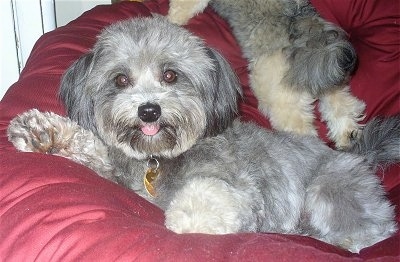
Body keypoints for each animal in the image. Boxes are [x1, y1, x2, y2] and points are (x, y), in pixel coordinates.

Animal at [7, 16, 398, 254]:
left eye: (170, 75)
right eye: (120, 79)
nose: (149, 110)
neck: (159, 158)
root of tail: (359, 156)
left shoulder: (237, 188)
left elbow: (203, 199)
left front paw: (184, 229)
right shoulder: (118, 168)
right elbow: (90, 144)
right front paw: (42, 132)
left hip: (328, 192)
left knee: (369, 233)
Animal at [167, 0, 368, 147]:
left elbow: (182, 7)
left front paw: (171, 20)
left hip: (282, 101)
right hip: (326, 78)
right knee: (341, 106)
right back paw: (347, 134)